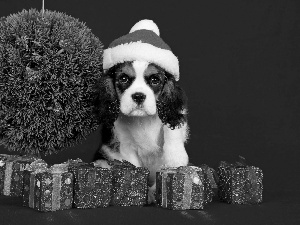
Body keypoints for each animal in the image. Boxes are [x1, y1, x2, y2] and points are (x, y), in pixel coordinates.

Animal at [94, 59, 189, 202]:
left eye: (155, 80)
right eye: (124, 78)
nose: (138, 96)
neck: (143, 119)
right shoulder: (126, 146)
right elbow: (134, 166)